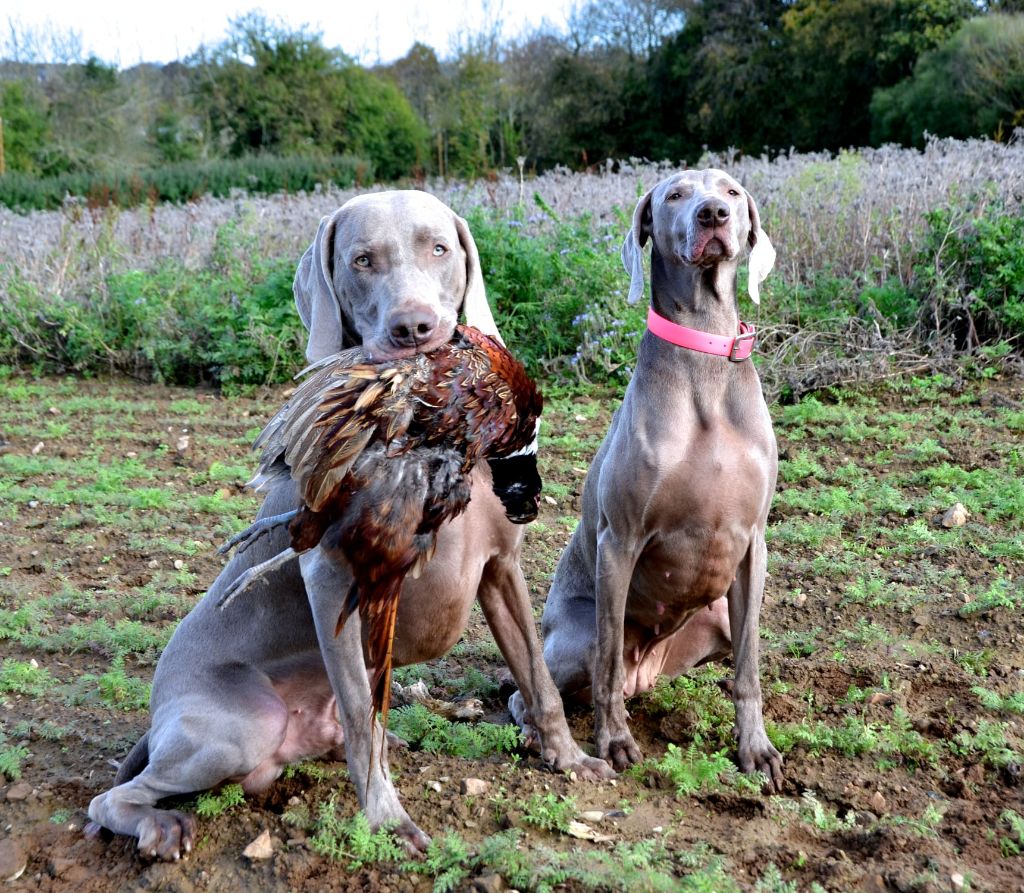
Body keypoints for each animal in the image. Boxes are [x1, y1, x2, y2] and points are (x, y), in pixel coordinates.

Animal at [86, 191, 606, 860]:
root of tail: (157, 718)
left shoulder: (501, 569)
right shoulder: (334, 574)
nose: (415, 330)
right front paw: (387, 822)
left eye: (439, 248)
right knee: (111, 798)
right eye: (362, 260)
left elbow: (539, 678)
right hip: (241, 726)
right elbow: (363, 712)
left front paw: (568, 757)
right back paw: (160, 826)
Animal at [512, 167, 782, 786]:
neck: (705, 356)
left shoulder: (753, 541)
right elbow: (609, 663)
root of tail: (650, 672)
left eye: (731, 191)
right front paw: (614, 743)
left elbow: (750, 668)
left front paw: (755, 749)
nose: (713, 215)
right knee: (545, 687)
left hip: (717, 616)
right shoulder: (621, 538)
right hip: (577, 633)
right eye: (675, 195)